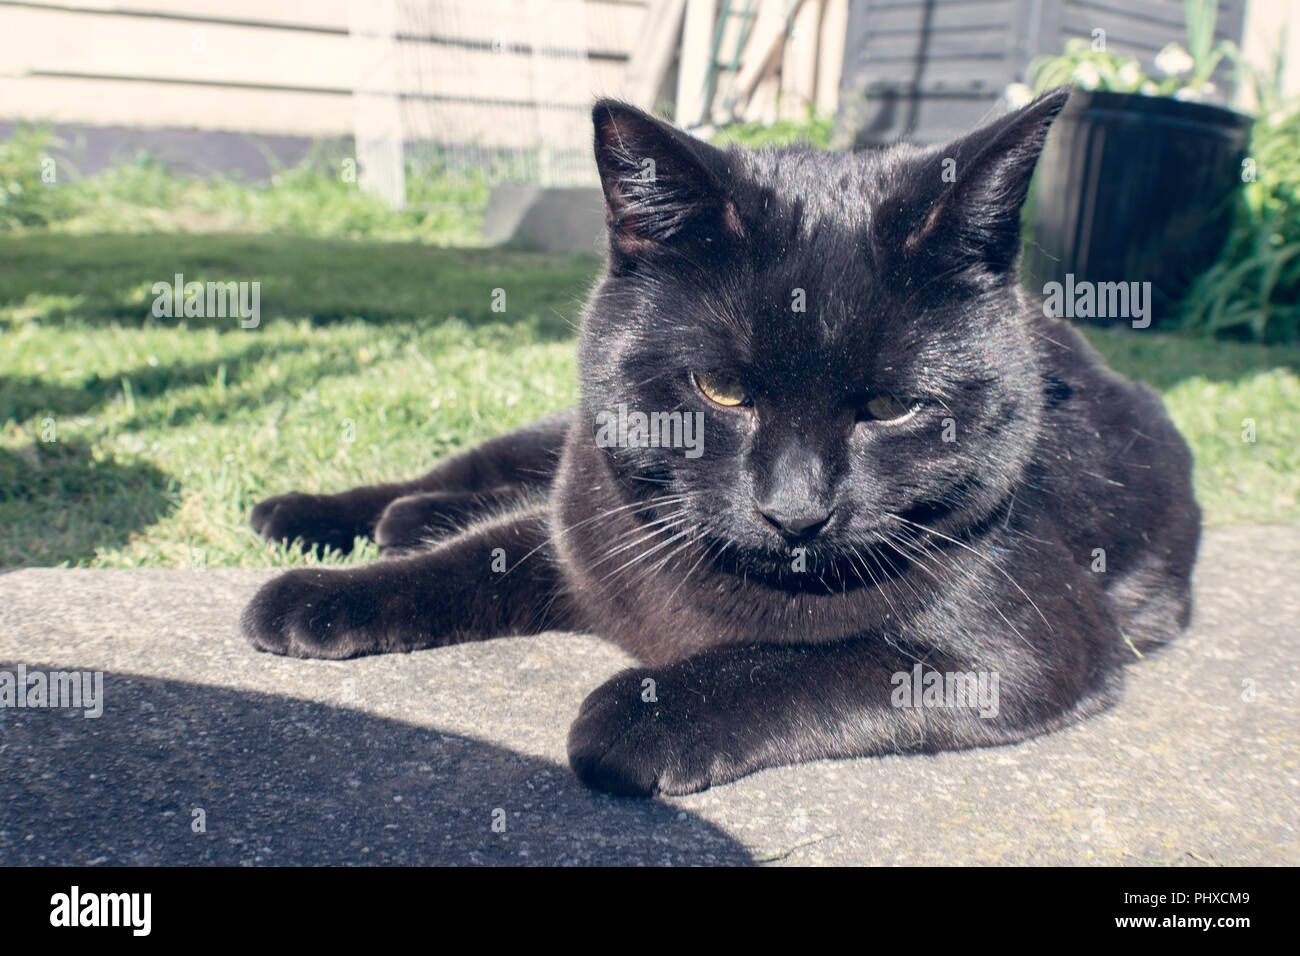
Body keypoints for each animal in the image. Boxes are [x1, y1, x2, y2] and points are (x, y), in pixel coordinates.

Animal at [241, 91, 1196, 801]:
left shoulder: (1023, 650)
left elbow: (806, 661)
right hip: (567, 438)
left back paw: (405, 518)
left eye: (891, 407)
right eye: (723, 391)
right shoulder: (586, 528)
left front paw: (639, 715)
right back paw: (321, 513)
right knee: (481, 474)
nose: (796, 510)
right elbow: (472, 559)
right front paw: (320, 597)